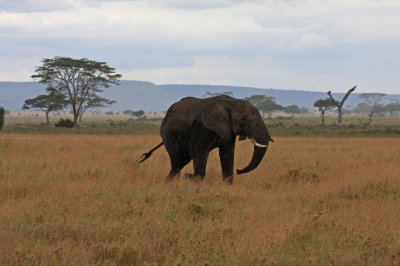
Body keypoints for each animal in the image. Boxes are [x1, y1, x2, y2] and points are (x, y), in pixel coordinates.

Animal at [139, 94, 274, 184]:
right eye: (244, 120)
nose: (238, 170)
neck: (233, 102)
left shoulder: (229, 131)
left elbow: (227, 154)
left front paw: (227, 184)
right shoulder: (202, 126)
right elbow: (199, 152)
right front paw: (192, 179)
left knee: (182, 160)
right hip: (170, 132)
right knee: (178, 159)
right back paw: (172, 181)